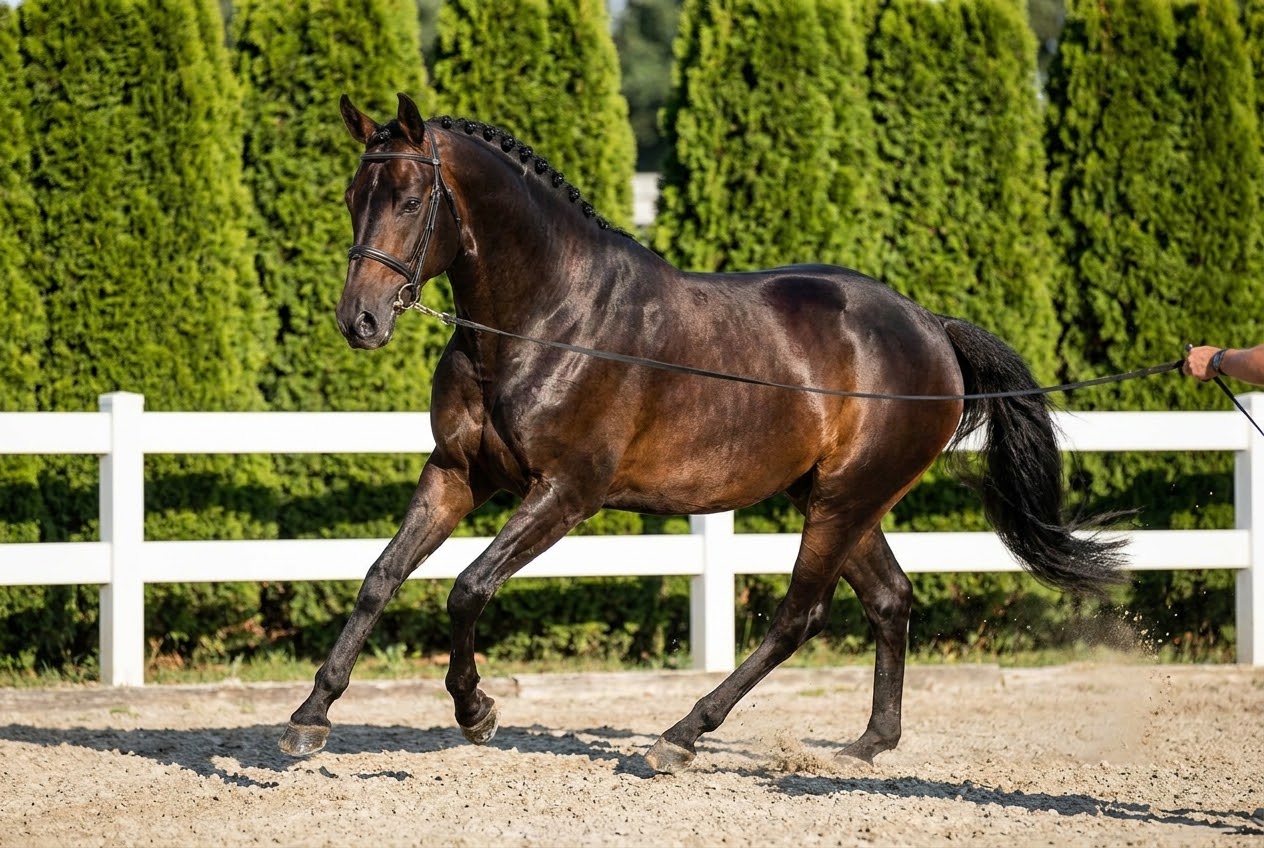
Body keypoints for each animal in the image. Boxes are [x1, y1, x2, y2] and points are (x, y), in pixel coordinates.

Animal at [278, 92, 1125, 774]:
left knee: (798, 616)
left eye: (412, 197)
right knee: (890, 599)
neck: (545, 319)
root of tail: (931, 327)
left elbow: (467, 588)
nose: (360, 321)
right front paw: (309, 719)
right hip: (837, 498)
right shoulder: (457, 472)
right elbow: (381, 576)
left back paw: (680, 737)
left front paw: (476, 712)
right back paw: (865, 745)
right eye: (354, 194)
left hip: (844, 500)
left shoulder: (566, 493)